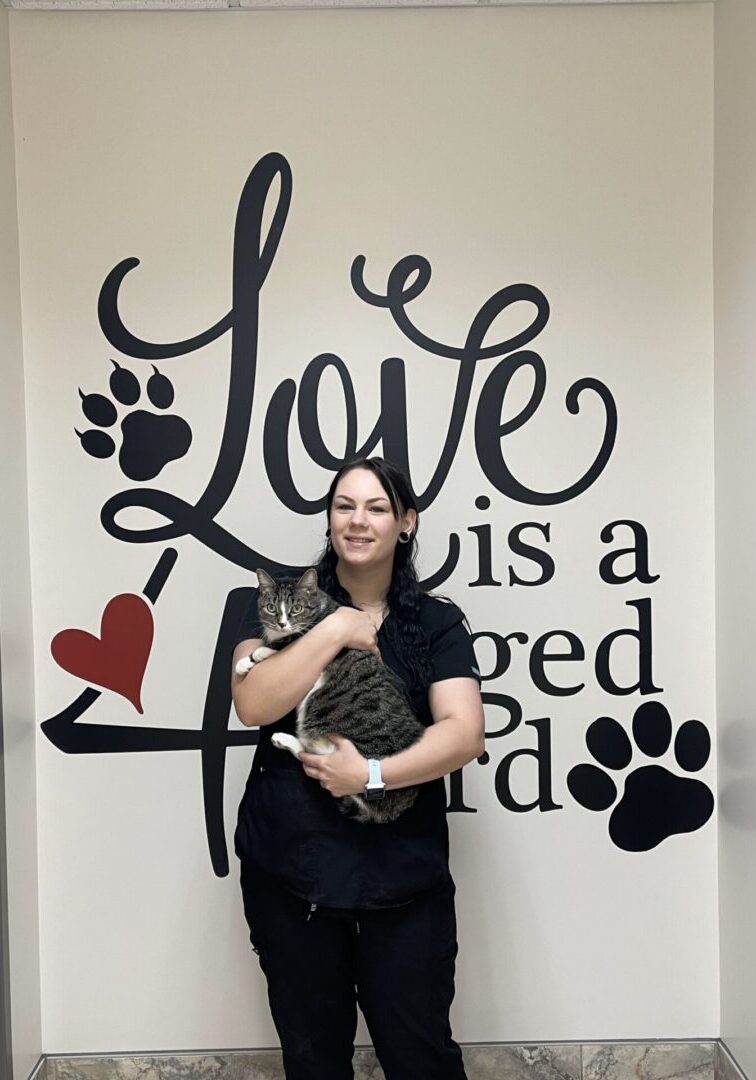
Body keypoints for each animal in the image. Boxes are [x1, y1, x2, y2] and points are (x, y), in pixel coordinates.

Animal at [236, 570, 425, 820]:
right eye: (271, 607)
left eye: (297, 608)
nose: (282, 623)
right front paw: (245, 662)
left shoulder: (308, 633)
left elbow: (285, 644)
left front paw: (255, 654)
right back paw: (282, 739)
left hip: (318, 706)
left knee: (320, 752)